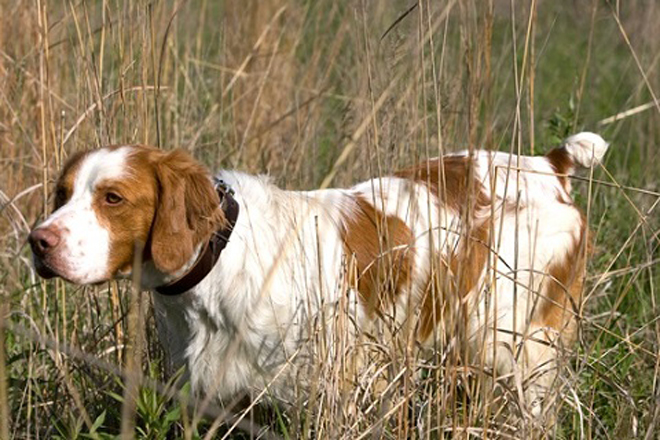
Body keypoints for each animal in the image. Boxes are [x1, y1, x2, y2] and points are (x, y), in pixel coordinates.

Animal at [29, 132, 608, 418]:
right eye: (61, 193)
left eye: (113, 198)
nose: (39, 242)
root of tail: (548, 166)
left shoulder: (333, 391)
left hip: (516, 348)